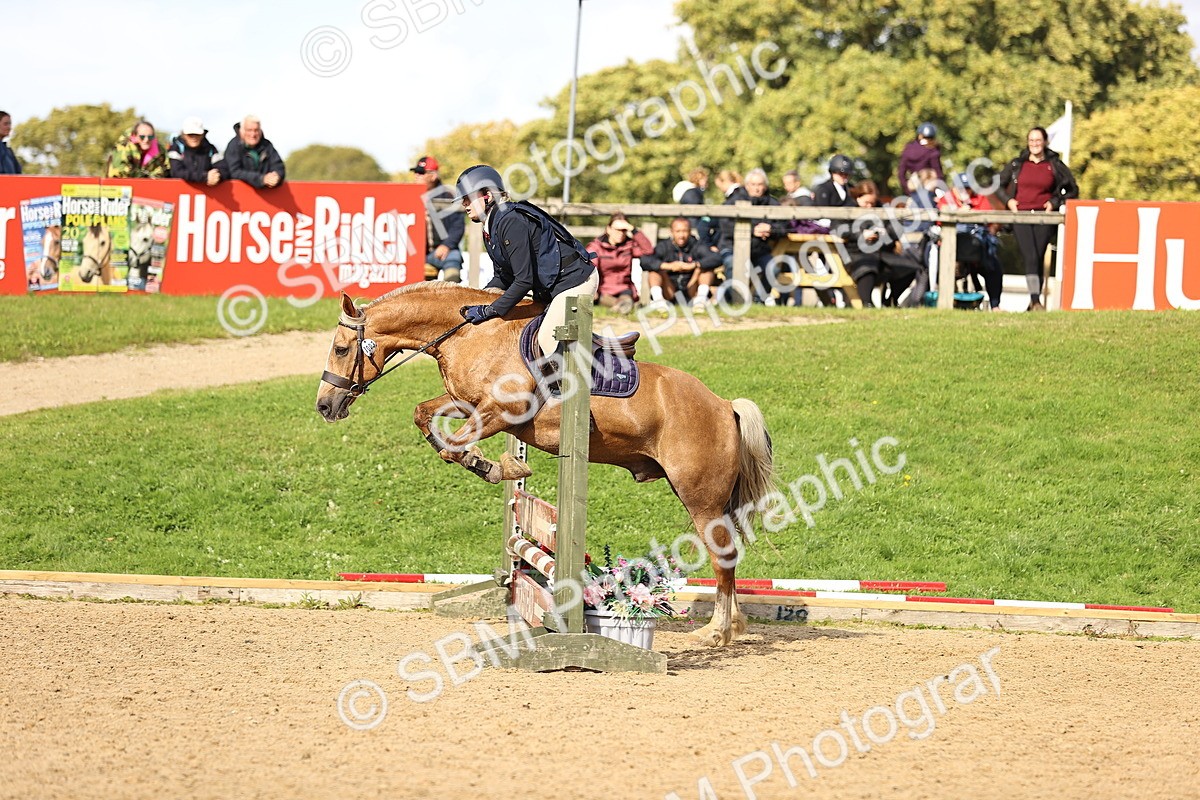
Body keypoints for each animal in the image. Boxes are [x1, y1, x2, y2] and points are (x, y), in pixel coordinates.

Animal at [315, 283, 776, 647]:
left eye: (340, 348)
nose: (325, 406)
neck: (471, 334)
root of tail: (724, 405)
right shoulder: (468, 401)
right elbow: (425, 416)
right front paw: (489, 462)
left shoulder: (503, 410)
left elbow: (453, 446)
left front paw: (498, 467)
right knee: (727, 556)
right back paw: (734, 627)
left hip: (699, 497)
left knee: (722, 556)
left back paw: (716, 633)